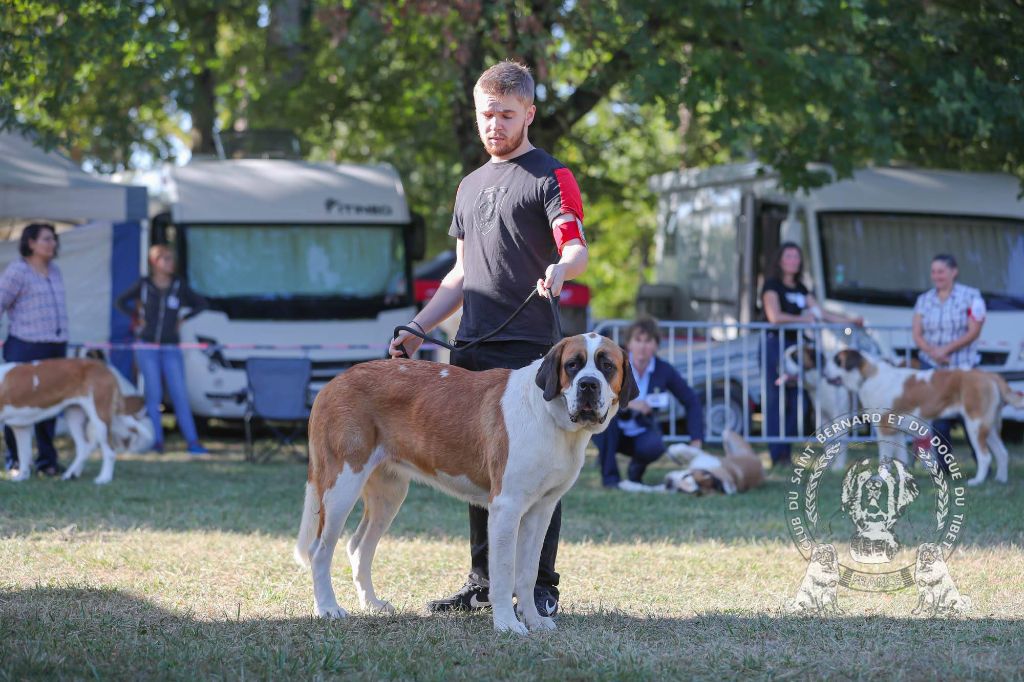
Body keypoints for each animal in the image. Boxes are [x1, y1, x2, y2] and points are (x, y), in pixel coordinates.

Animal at [1, 358, 153, 481]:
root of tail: (104, 368)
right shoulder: (21, 427)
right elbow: (23, 453)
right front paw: (21, 477)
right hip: (74, 415)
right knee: (83, 447)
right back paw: (71, 474)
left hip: (100, 417)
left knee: (109, 451)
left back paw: (104, 478)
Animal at [292, 331, 634, 634]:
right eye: (573, 365)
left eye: (607, 366)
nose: (588, 385)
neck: (551, 417)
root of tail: (333, 384)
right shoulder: (506, 508)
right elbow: (504, 571)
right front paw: (508, 624)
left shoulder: (541, 510)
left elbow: (527, 571)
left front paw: (534, 620)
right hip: (341, 484)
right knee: (319, 549)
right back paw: (328, 608)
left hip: (389, 494)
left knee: (359, 546)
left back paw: (372, 604)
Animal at [823, 350, 1024, 483]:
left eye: (837, 361)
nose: (823, 374)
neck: (869, 376)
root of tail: (989, 375)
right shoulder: (896, 431)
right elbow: (900, 457)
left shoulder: (885, 428)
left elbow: (885, 458)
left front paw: (880, 477)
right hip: (989, 427)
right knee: (1002, 453)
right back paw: (1000, 479)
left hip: (975, 424)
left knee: (985, 456)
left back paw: (977, 482)